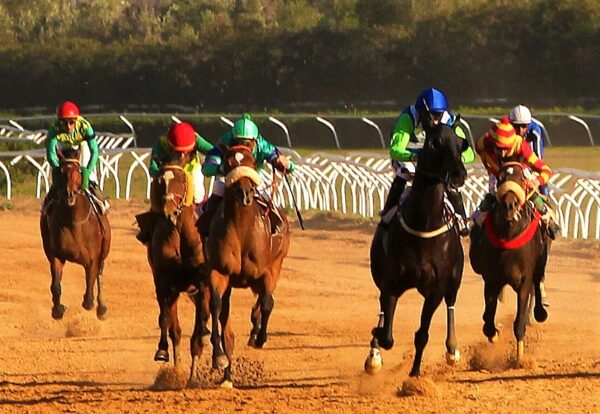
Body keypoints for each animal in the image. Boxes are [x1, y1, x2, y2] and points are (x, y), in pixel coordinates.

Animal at [39, 148, 111, 320]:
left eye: (78, 170)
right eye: (62, 171)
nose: (69, 193)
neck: (73, 221)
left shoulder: (92, 258)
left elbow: (90, 285)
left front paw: (89, 302)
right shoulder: (56, 255)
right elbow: (56, 285)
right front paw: (58, 309)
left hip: (104, 250)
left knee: (99, 274)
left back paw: (102, 308)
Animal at [143, 153, 211, 384]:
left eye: (181, 181)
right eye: (160, 181)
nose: (170, 212)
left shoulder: (203, 284)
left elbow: (198, 333)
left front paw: (192, 378)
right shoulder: (164, 283)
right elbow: (169, 324)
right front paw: (165, 356)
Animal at [203, 145, 292, 388]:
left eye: (252, 161)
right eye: (229, 162)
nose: (245, 193)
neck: (242, 229)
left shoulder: (267, 272)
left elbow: (268, 302)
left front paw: (260, 338)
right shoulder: (219, 272)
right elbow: (216, 306)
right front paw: (219, 356)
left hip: (277, 263)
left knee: (265, 300)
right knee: (226, 320)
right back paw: (227, 376)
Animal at [364, 121, 466, 376]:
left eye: (461, 143)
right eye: (436, 142)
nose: (459, 175)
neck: (423, 227)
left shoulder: (435, 290)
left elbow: (422, 334)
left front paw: (415, 373)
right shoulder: (391, 284)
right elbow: (387, 335)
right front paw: (376, 340)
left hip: (454, 280)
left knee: (451, 303)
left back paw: (452, 350)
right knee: (381, 310)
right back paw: (374, 354)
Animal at [468, 162, 548, 366]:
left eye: (521, 177)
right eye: (501, 178)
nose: (510, 205)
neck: (508, 234)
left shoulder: (524, 280)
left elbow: (520, 320)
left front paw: (519, 358)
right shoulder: (491, 280)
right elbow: (488, 320)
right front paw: (494, 334)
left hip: (539, 265)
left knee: (538, 283)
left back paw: (540, 312)